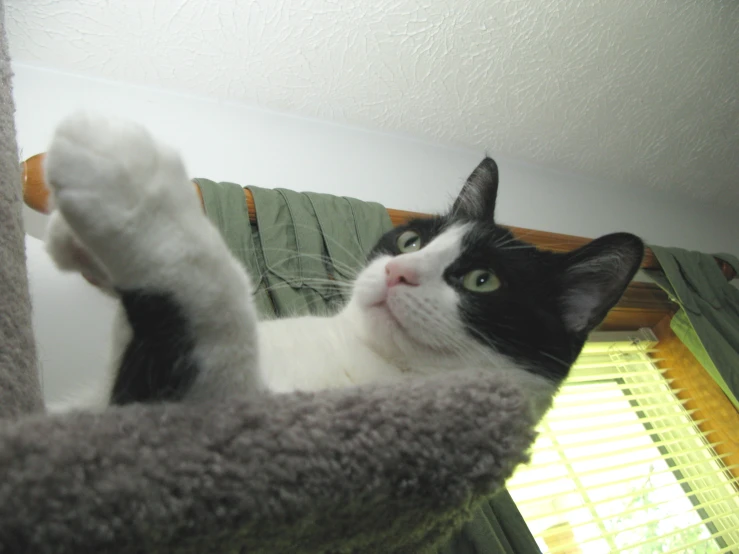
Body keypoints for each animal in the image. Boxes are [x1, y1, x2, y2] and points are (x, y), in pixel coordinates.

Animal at [43, 110, 644, 416]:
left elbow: (211, 324)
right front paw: (79, 241)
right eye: (411, 242)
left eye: (482, 280)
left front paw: (132, 185)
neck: (357, 353)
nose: (399, 272)